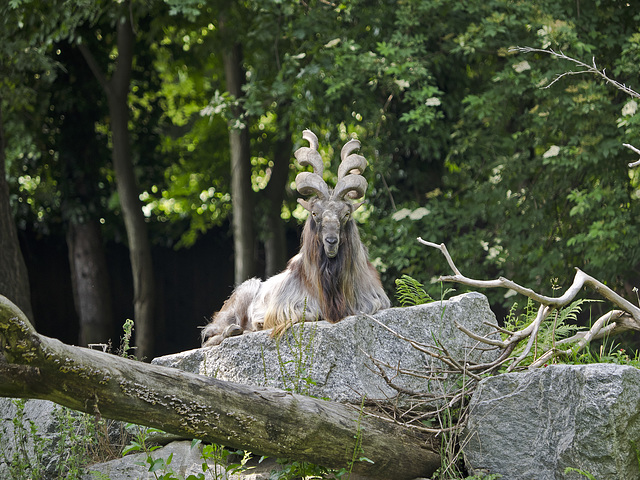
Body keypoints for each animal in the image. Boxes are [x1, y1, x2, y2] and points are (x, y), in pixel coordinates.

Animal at [201, 129, 390, 346]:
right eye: (315, 213)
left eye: (346, 214)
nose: (331, 242)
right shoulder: (288, 306)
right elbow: (306, 314)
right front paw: (259, 324)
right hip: (244, 292)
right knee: (210, 336)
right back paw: (235, 329)